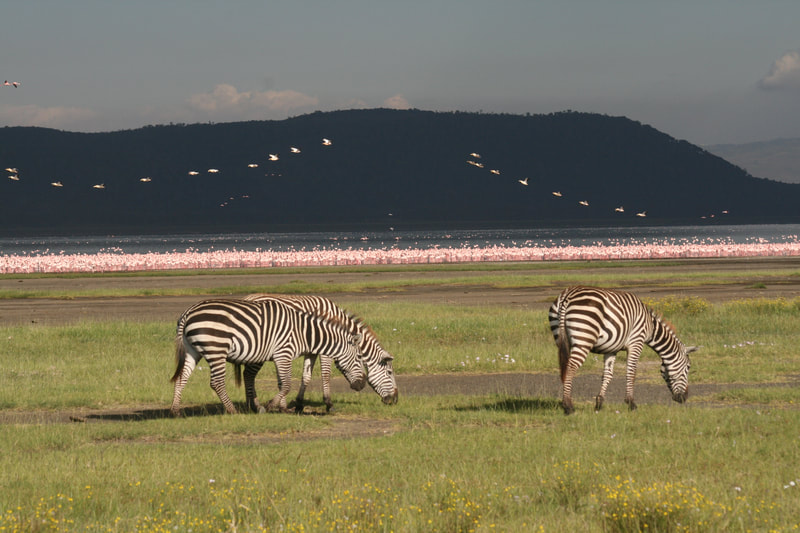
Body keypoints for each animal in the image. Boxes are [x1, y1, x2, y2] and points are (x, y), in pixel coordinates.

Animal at [170, 298, 366, 416]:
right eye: (359, 356)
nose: (362, 385)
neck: (305, 333)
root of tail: (188, 312)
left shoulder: (281, 356)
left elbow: (283, 383)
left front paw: (280, 407)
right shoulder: (284, 352)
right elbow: (286, 385)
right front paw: (271, 405)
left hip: (192, 350)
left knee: (181, 377)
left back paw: (175, 411)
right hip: (216, 348)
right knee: (217, 382)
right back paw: (232, 411)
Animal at [240, 294, 398, 412]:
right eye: (389, 373)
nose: (395, 400)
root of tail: (247, 297)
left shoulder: (312, 351)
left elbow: (306, 376)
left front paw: (299, 404)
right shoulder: (328, 348)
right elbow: (326, 374)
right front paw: (329, 403)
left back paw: (251, 405)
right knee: (249, 374)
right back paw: (255, 406)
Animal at [549, 286, 697, 415]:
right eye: (688, 367)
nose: (684, 398)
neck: (650, 327)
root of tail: (567, 295)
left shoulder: (611, 348)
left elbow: (608, 374)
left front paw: (599, 403)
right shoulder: (636, 342)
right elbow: (631, 372)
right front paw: (631, 403)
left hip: (561, 340)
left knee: (564, 367)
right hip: (583, 339)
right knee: (571, 367)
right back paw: (568, 406)